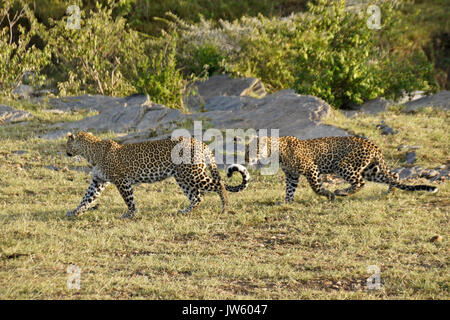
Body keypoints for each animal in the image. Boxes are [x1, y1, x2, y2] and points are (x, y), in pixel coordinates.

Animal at [65, 131, 250, 219]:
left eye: (67, 143)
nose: (66, 152)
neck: (90, 153)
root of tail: (200, 142)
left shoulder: (122, 181)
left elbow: (128, 199)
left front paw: (130, 214)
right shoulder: (98, 181)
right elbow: (87, 198)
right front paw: (75, 212)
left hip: (192, 175)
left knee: (218, 185)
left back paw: (225, 208)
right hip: (183, 177)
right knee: (197, 197)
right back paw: (185, 211)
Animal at [244, 136, 438, 201]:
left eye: (253, 149)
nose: (246, 158)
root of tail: (373, 145)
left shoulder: (311, 168)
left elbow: (316, 187)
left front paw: (329, 194)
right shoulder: (292, 175)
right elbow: (289, 190)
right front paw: (286, 202)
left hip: (344, 165)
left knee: (360, 183)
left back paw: (341, 192)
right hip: (371, 170)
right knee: (394, 175)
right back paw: (389, 192)